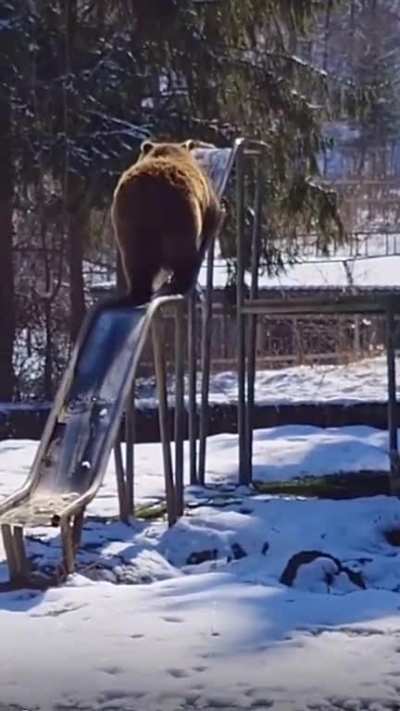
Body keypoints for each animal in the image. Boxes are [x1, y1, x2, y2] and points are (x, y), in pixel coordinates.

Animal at [110, 139, 224, 305]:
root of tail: (149, 188)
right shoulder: (206, 198)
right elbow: (213, 216)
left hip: (129, 219)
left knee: (135, 260)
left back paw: (138, 293)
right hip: (178, 213)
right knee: (182, 251)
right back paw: (183, 281)